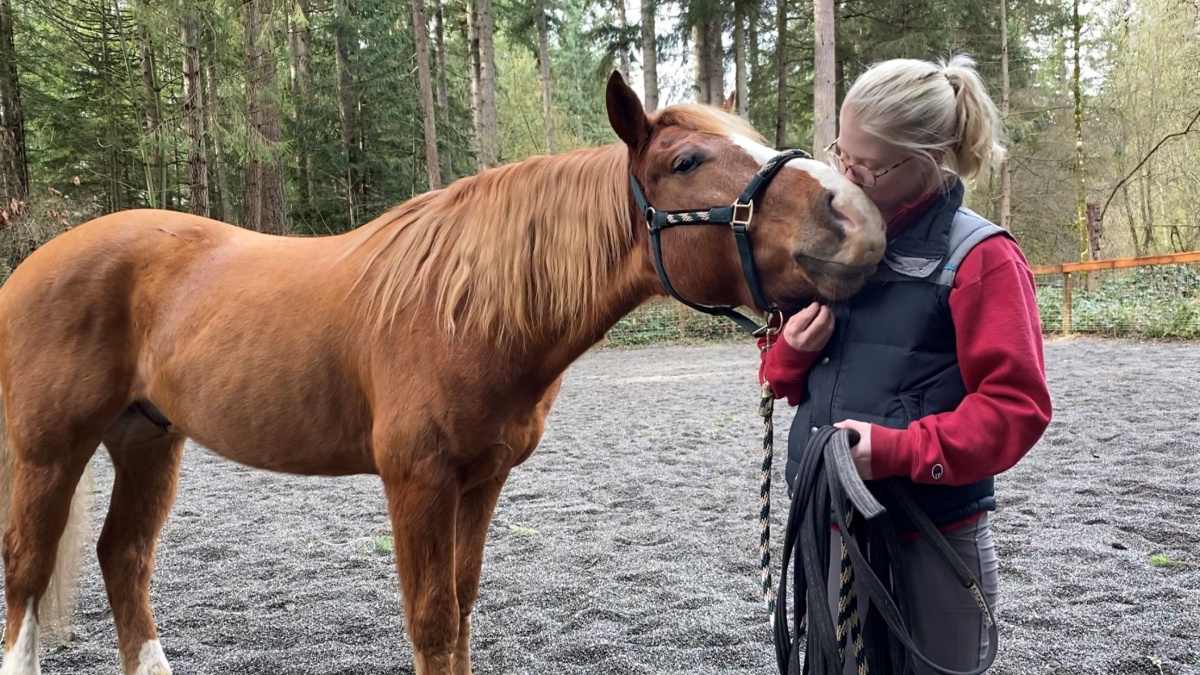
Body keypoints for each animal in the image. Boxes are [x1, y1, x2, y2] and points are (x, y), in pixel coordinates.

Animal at [0, 73, 883, 672]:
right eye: (689, 157)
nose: (857, 220)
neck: (466, 309)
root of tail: (37, 261)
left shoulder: (481, 479)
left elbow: (460, 605)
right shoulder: (416, 480)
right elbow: (429, 616)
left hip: (149, 438)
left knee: (123, 556)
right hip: (50, 449)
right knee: (28, 568)